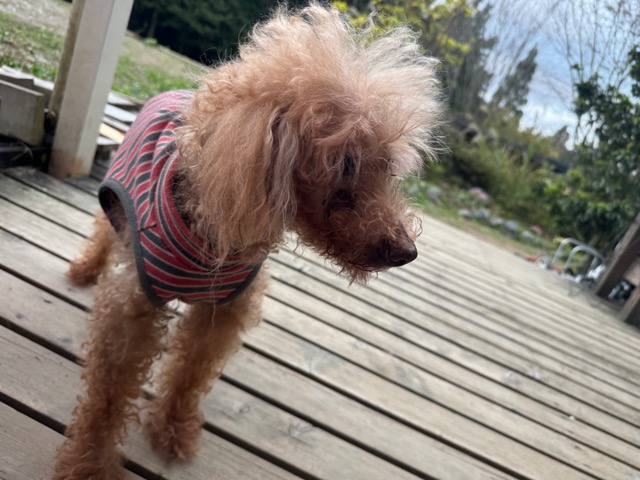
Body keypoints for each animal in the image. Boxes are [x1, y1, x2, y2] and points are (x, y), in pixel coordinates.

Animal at [53, 3, 441, 478]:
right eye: (344, 165)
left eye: (387, 167)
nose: (407, 251)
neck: (211, 233)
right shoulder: (132, 308)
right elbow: (108, 397)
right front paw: (88, 463)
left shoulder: (223, 309)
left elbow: (190, 373)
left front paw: (173, 429)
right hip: (117, 207)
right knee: (103, 230)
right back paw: (85, 269)